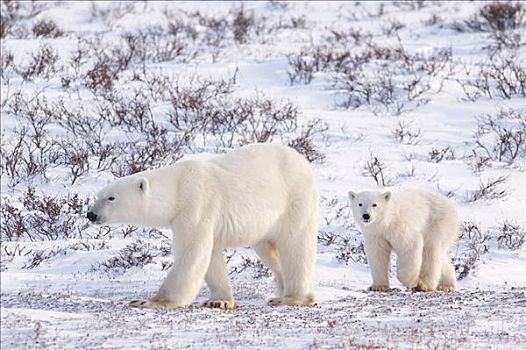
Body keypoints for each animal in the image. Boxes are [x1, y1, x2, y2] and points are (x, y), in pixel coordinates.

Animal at [88, 144, 320, 308]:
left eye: (111, 197)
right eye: (98, 195)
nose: (91, 214)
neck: (177, 187)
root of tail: (304, 162)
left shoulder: (195, 205)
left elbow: (192, 253)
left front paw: (150, 301)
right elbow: (211, 257)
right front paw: (220, 301)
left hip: (294, 201)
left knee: (295, 246)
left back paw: (292, 298)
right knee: (268, 250)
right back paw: (280, 290)